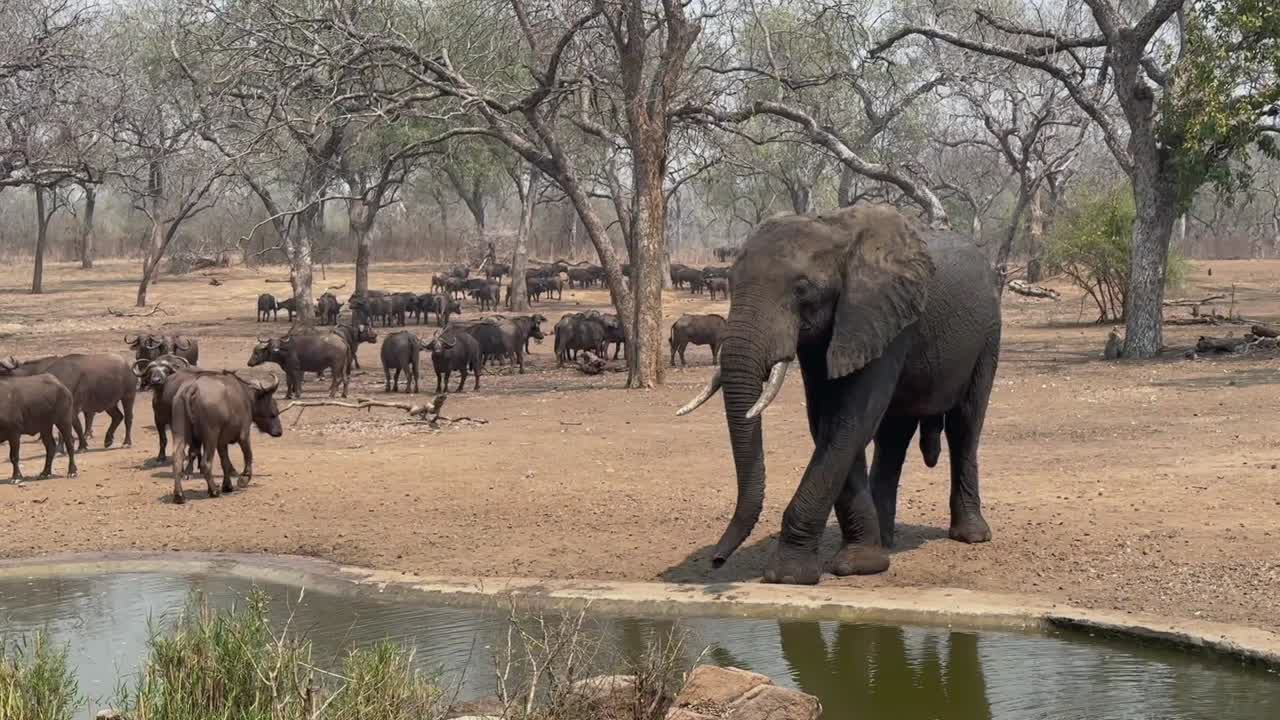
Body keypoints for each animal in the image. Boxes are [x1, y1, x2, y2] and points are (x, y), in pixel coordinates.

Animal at [677, 204, 1001, 585]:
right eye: (730, 283)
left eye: (802, 290)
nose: (716, 561)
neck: (834, 231)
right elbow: (827, 422)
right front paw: (861, 564)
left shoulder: (884, 317)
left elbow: (848, 421)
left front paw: (789, 575)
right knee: (894, 436)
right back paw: (886, 542)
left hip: (989, 333)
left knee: (965, 424)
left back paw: (972, 536)